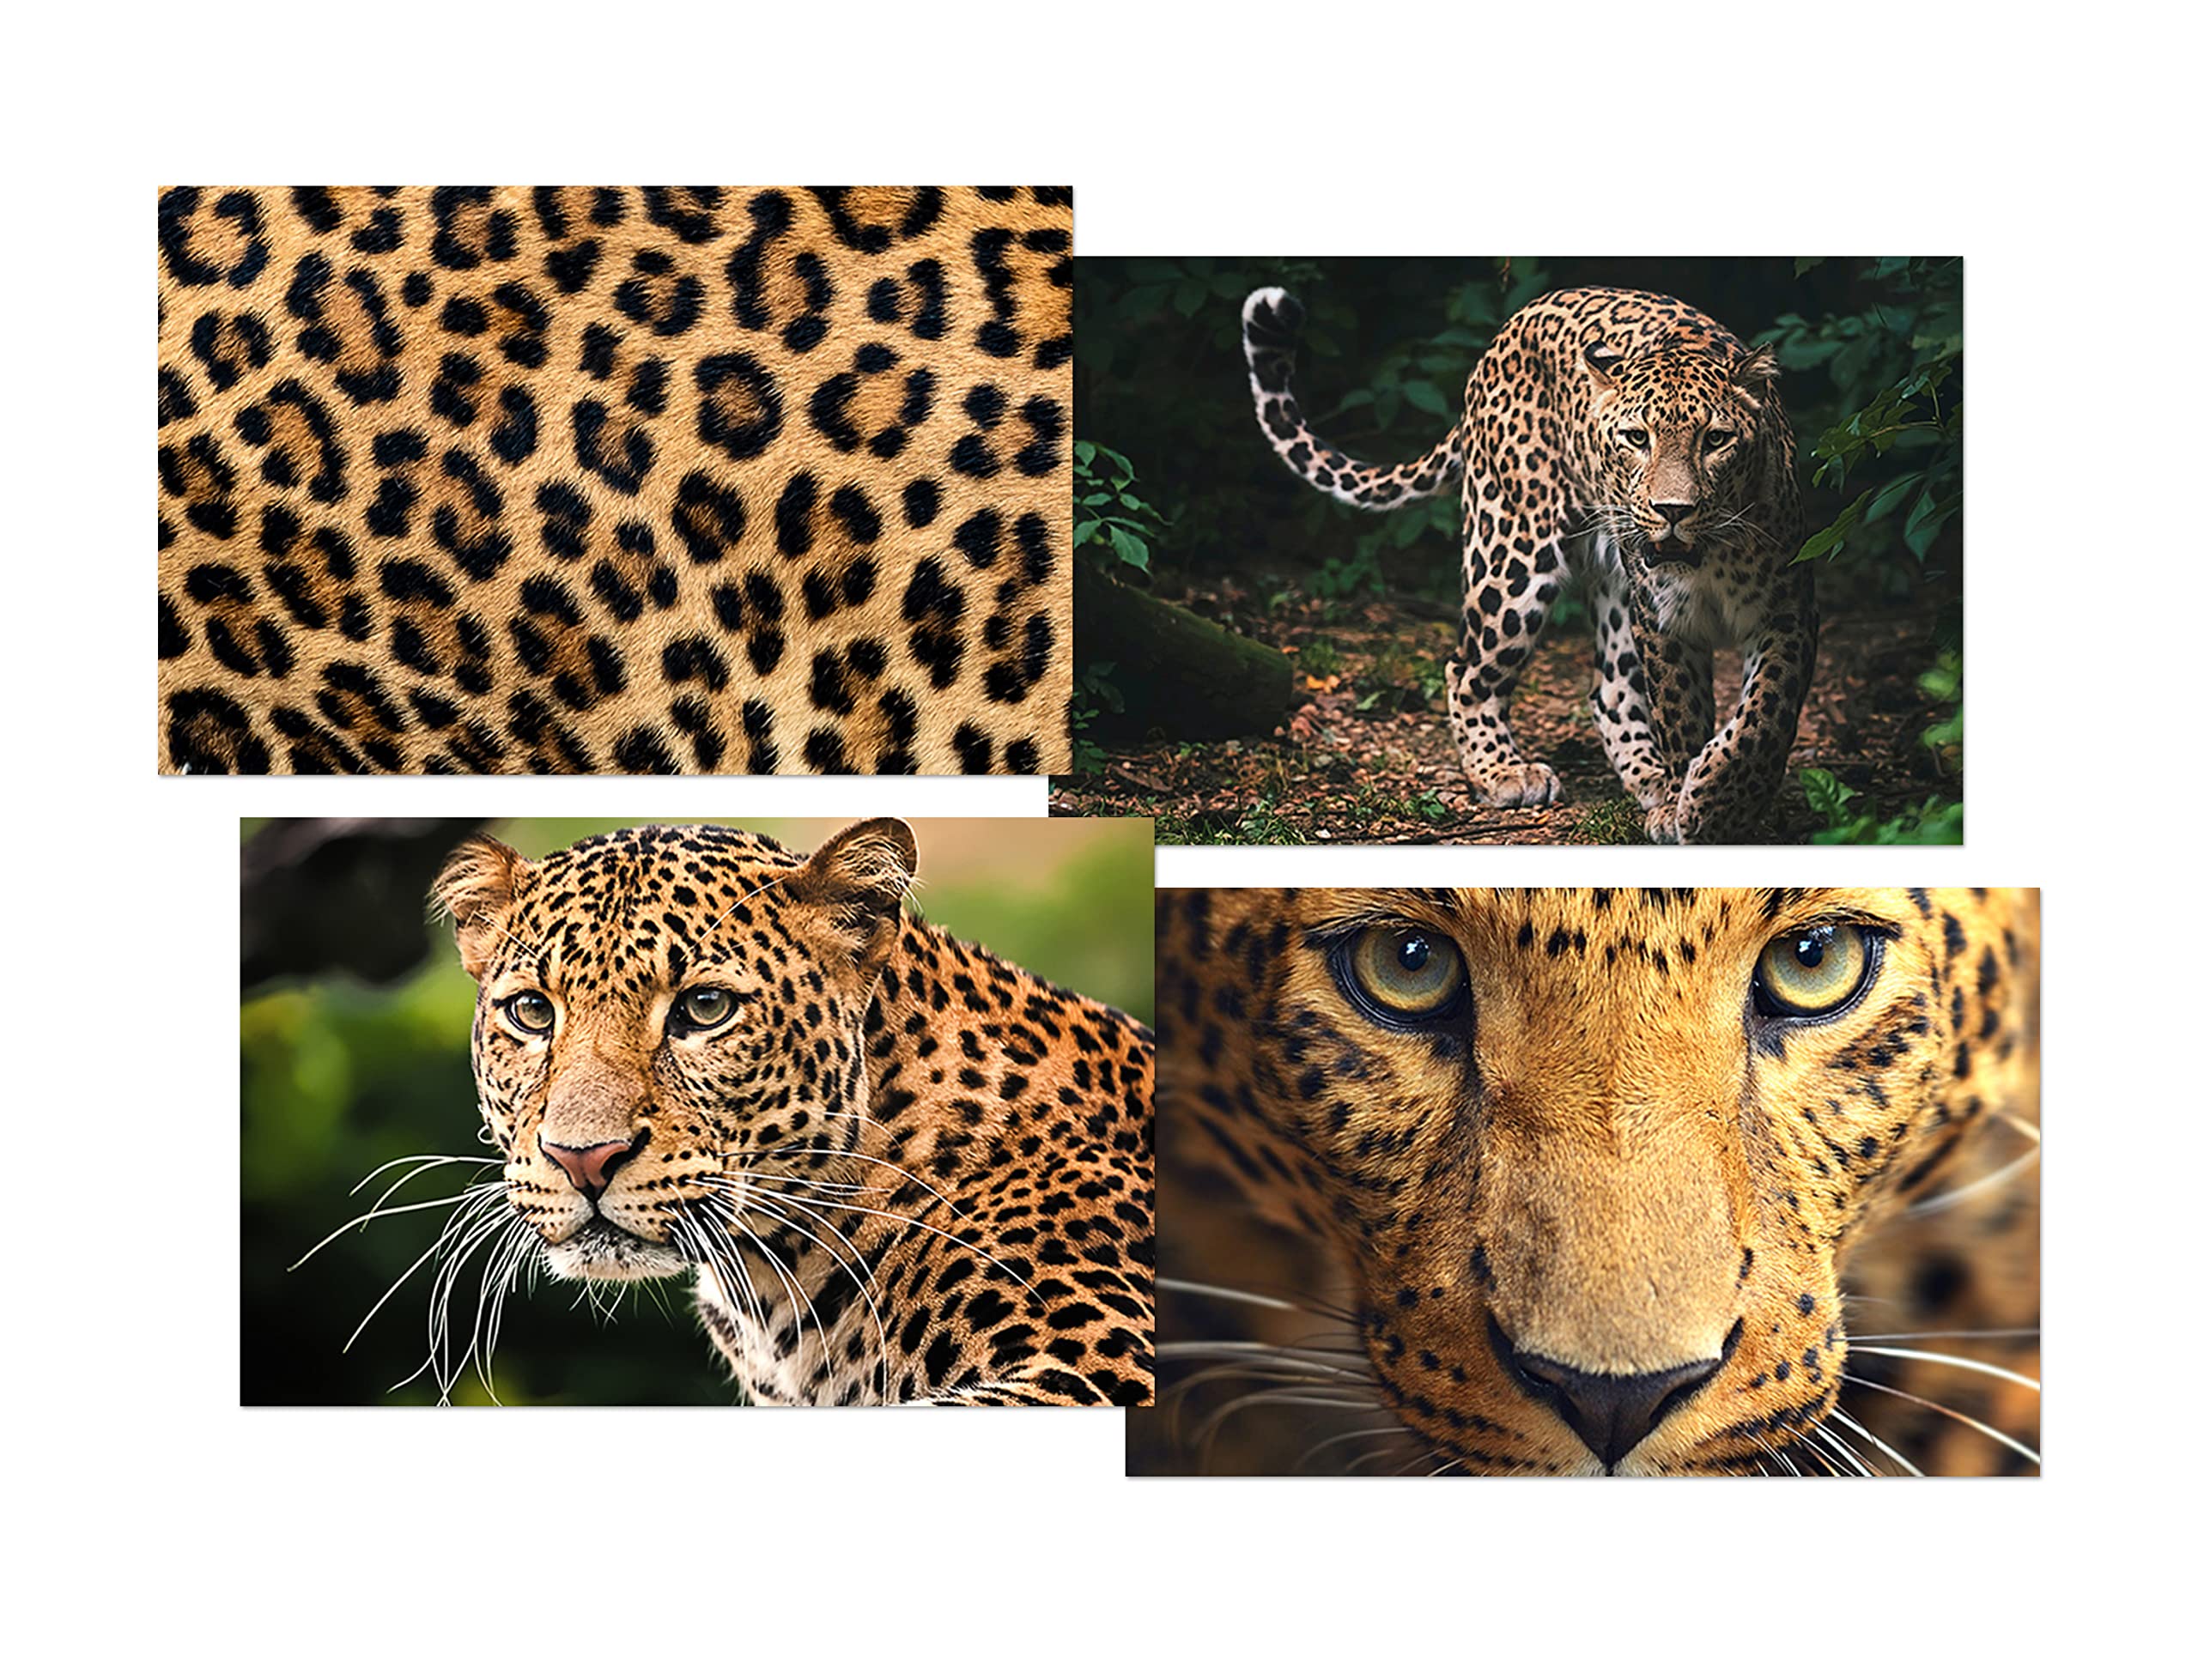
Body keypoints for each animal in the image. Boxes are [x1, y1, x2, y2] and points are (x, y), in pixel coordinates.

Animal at [1242, 284, 1818, 843]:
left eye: (1716, 439)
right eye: (1637, 438)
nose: (1672, 511)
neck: (1709, 557)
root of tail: (1509, 328)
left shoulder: (1787, 610)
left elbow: (1765, 713)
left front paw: (1720, 801)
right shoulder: (1662, 622)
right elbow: (1682, 715)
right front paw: (1695, 806)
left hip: (1611, 585)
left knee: (1609, 688)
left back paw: (1650, 781)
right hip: (1512, 554)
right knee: (1466, 669)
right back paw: (1505, 773)